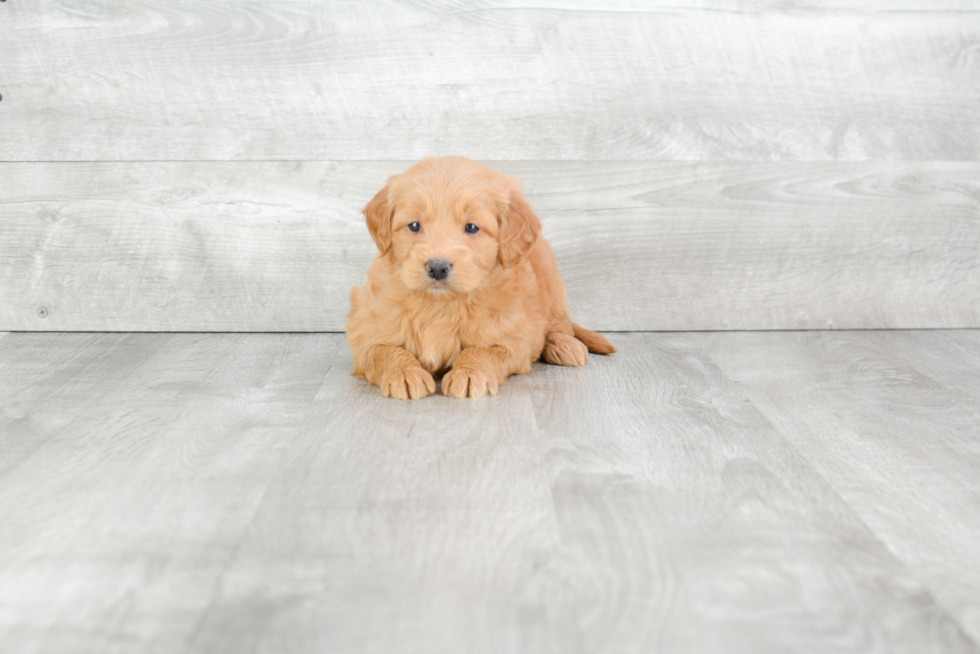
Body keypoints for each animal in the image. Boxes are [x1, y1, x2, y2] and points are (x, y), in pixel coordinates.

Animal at [348, 158, 616, 400]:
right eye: (414, 225)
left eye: (472, 228)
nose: (437, 267)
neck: (440, 304)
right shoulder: (365, 333)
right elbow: (383, 351)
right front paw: (404, 374)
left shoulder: (512, 339)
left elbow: (482, 351)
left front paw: (468, 373)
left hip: (550, 275)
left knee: (559, 324)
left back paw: (564, 345)